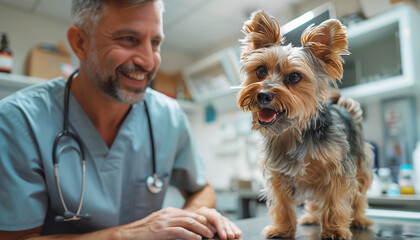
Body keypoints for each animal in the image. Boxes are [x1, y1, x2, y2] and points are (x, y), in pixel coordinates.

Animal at [236, 9, 374, 240]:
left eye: (294, 77)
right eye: (261, 71)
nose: (263, 94)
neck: (295, 132)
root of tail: (345, 108)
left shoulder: (337, 171)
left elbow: (335, 201)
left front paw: (334, 229)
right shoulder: (279, 175)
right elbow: (282, 204)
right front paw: (282, 229)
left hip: (360, 164)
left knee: (359, 195)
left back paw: (360, 219)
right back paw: (310, 217)